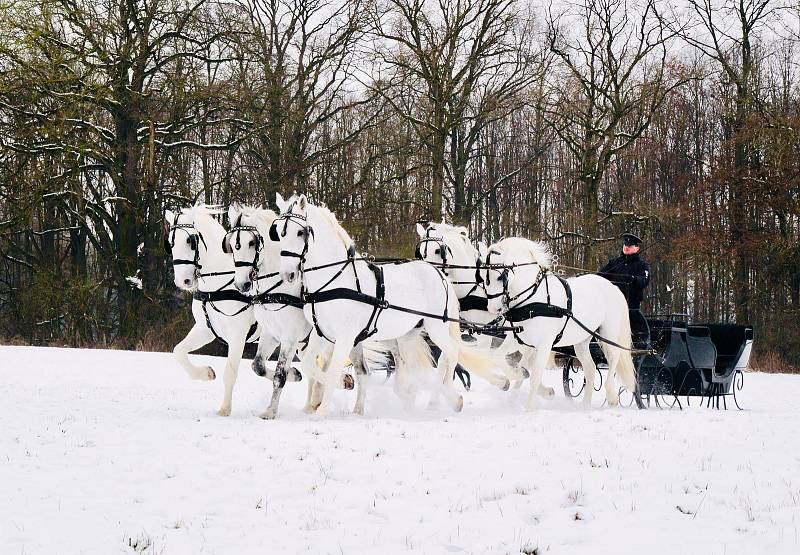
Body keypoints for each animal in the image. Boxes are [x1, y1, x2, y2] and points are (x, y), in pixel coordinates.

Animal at [164, 206, 258, 414]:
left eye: (190, 240)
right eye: (170, 243)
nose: (183, 281)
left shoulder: (238, 333)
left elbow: (230, 372)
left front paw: (224, 409)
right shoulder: (205, 330)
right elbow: (178, 351)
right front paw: (206, 373)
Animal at [268, 193, 496, 414]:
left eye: (300, 232)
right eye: (279, 233)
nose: (288, 274)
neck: (333, 281)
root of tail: (438, 274)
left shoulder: (345, 336)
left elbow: (331, 372)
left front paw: (322, 411)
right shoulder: (321, 333)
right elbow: (309, 364)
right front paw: (345, 383)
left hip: (436, 326)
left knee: (451, 352)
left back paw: (451, 397)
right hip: (408, 335)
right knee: (414, 367)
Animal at [476, 237, 636, 410]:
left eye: (500, 277)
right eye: (483, 277)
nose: (494, 308)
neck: (533, 299)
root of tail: (612, 286)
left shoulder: (544, 344)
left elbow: (535, 376)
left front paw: (529, 407)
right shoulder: (519, 339)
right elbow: (499, 357)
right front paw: (518, 378)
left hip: (608, 333)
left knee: (614, 357)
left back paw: (611, 396)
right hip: (582, 341)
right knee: (591, 368)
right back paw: (585, 405)